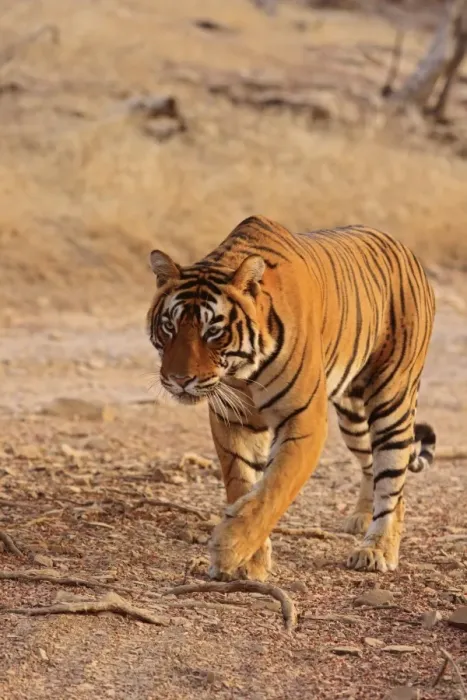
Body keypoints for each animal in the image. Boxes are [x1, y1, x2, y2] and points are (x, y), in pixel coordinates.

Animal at [146, 215, 436, 582]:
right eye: (169, 327)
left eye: (213, 331)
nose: (179, 380)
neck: (242, 370)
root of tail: (406, 250)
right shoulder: (233, 419)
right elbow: (242, 483)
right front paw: (250, 562)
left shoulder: (304, 419)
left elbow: (273, 489)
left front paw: (229, 548)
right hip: (353, 417)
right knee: (375, 467)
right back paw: (361, 519)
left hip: (391, 401)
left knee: (393, 477)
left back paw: (377, 549)